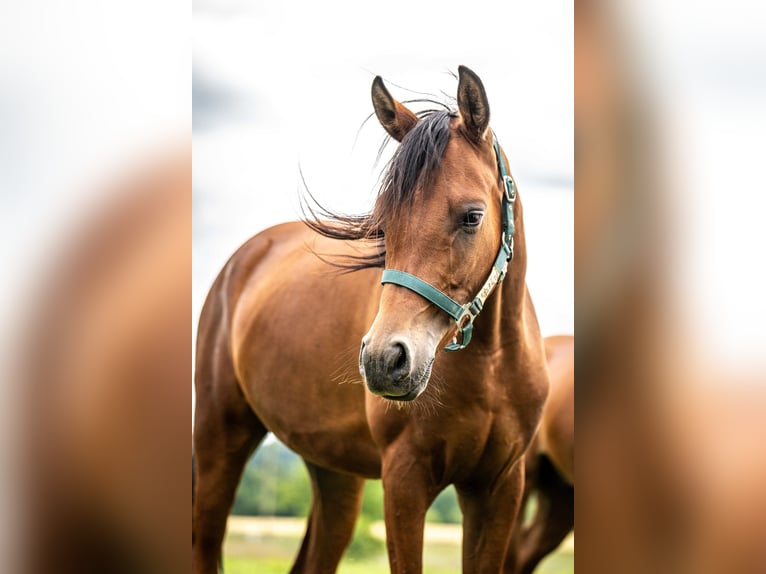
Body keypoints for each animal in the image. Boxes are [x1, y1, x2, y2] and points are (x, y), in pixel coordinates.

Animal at [192, 65, 552, 572]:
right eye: (382, 225)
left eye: (472, 216)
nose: (384, 360)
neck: (492, 364)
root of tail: (244, 258)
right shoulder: (405, 479)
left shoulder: (500, 489)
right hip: (219, 441)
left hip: (334, 475)